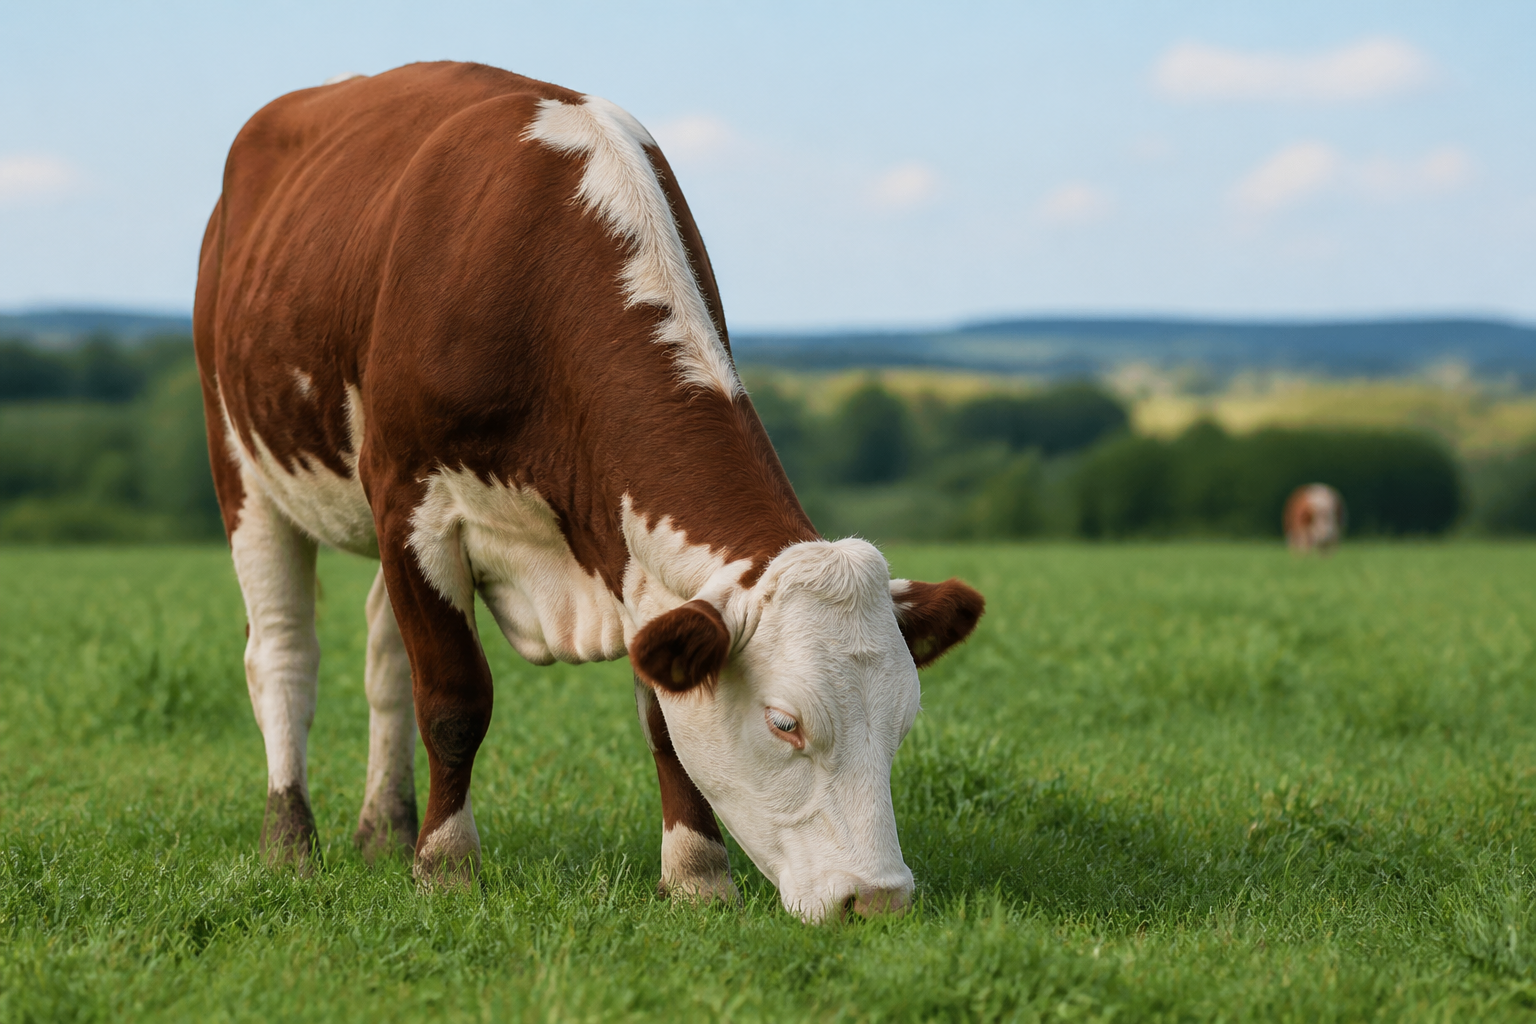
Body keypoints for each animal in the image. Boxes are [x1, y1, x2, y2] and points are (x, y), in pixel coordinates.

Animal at [193, 62, 985, 923]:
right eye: (785, 723)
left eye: (902, 722)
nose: (878, 899)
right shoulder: (412, 501)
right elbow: (454, 699)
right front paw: (446, 864)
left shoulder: (638, 568)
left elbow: (661, 719)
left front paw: (695, 872)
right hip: (243, 464)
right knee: (283, 653)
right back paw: (291, 842)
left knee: (383, 659)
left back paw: (385, 830)